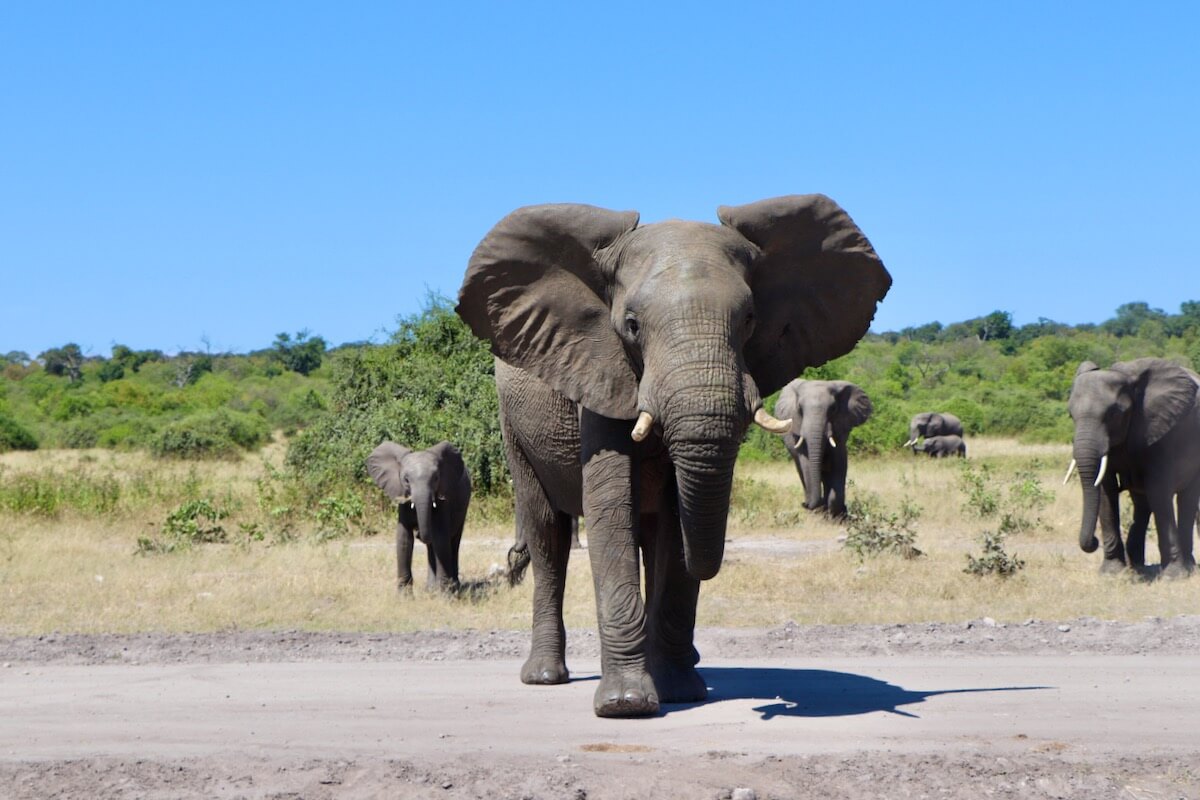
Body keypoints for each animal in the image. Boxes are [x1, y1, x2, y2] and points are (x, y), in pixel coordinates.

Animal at [366, 441, 472, 592]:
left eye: (436, 478)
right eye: (406, 480)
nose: (418, 533)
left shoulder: (443, 500)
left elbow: (440, 537)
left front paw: (445, 595)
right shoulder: (403, 499)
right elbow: (404, 538)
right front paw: (404, 596)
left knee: (454, 541)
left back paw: (454, 587)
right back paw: (431, 589)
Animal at [773, 379, 873, 518]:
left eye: (833, 408)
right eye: (799, 408)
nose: (804, 504)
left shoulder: (840, 428)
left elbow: (839, 463)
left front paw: (836, 514)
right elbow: (806, 463)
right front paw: (820, 512)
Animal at [1067, 358, 1200, 578]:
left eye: (1114, 414)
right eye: (1071, 416)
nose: (1094, 542)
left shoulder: (1159, 428)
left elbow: (1158, 492)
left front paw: (1172, 576)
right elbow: (1106, 492)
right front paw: (1111, 573)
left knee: (1185, 499)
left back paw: (1189, 567)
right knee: (1142, 503)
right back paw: (1137, 566)